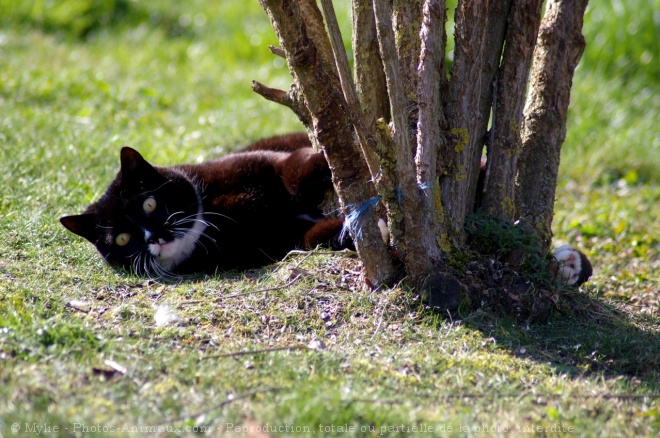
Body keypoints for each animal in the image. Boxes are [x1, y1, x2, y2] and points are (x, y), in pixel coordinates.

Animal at [60, 133, 346, 278]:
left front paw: (332, 156)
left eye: (149, 204)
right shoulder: (265, 242)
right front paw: (345, 231)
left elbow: (295, 167)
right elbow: (309, 237)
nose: (154, 237)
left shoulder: (266, 162)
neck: (209, 216)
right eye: (122, 239)